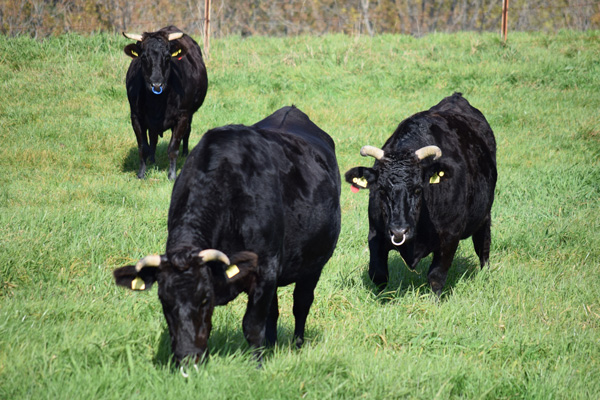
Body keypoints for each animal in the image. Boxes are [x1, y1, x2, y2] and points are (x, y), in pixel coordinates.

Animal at [111, 106, 342, 366]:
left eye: (204, 298)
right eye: (164, 301)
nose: (186, 357)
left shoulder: (265, 268)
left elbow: (253, 326)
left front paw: (257, 365)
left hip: (314, 265)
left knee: (301, 303)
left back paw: (297, 344)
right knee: (274, 311)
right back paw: (272, 345)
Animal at [122, 25, 209, 180]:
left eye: (168, 57)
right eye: (143, 57)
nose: (156, 84)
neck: (157, 103)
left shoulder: (182, 116)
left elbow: (173, 148)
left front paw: (172, 175)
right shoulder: (136, 116)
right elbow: (143, 147)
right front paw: (141, 174)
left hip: (190, 114)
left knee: (187, 131)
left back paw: (185, 153)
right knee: (153, 137)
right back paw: (152, 159)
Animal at [344, 92, 500, 296]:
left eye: (418, 189)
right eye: (381, 190)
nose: (399, 231)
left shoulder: (450, 236)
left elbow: (436, 276)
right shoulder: (376, 233)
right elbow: (378, 273)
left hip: (485, 215)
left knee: (483, 247)